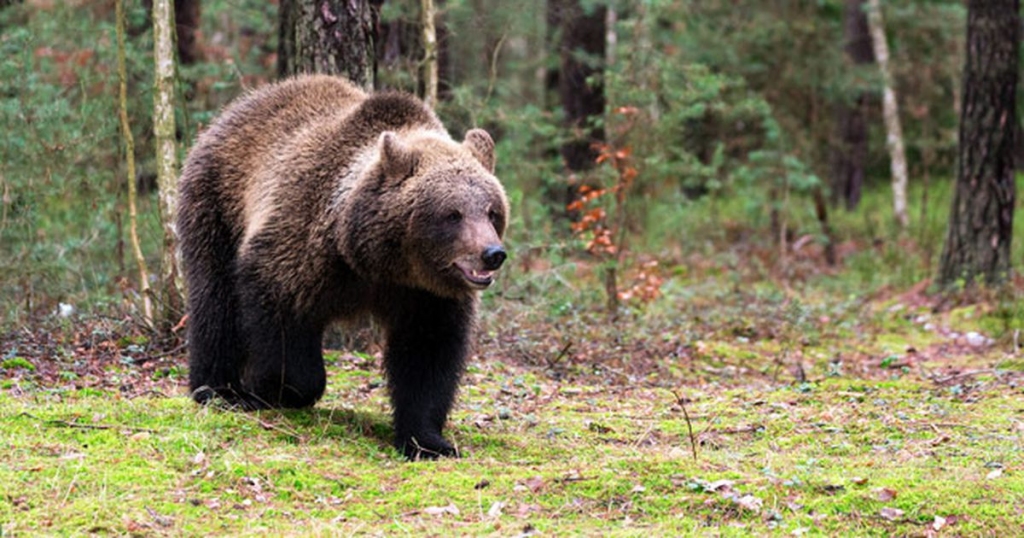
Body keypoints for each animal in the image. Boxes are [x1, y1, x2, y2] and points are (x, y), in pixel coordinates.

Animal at [180, 73, 512, 457]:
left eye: (491, 211)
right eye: (453, 214)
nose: (492, 253)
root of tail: (239, 107)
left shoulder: (426, 296)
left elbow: (427, 355)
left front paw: (428, 441)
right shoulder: (299, 246)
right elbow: (278, 313)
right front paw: (272, 388)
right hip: (217, 204)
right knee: (215, 300)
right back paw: (217, 389)